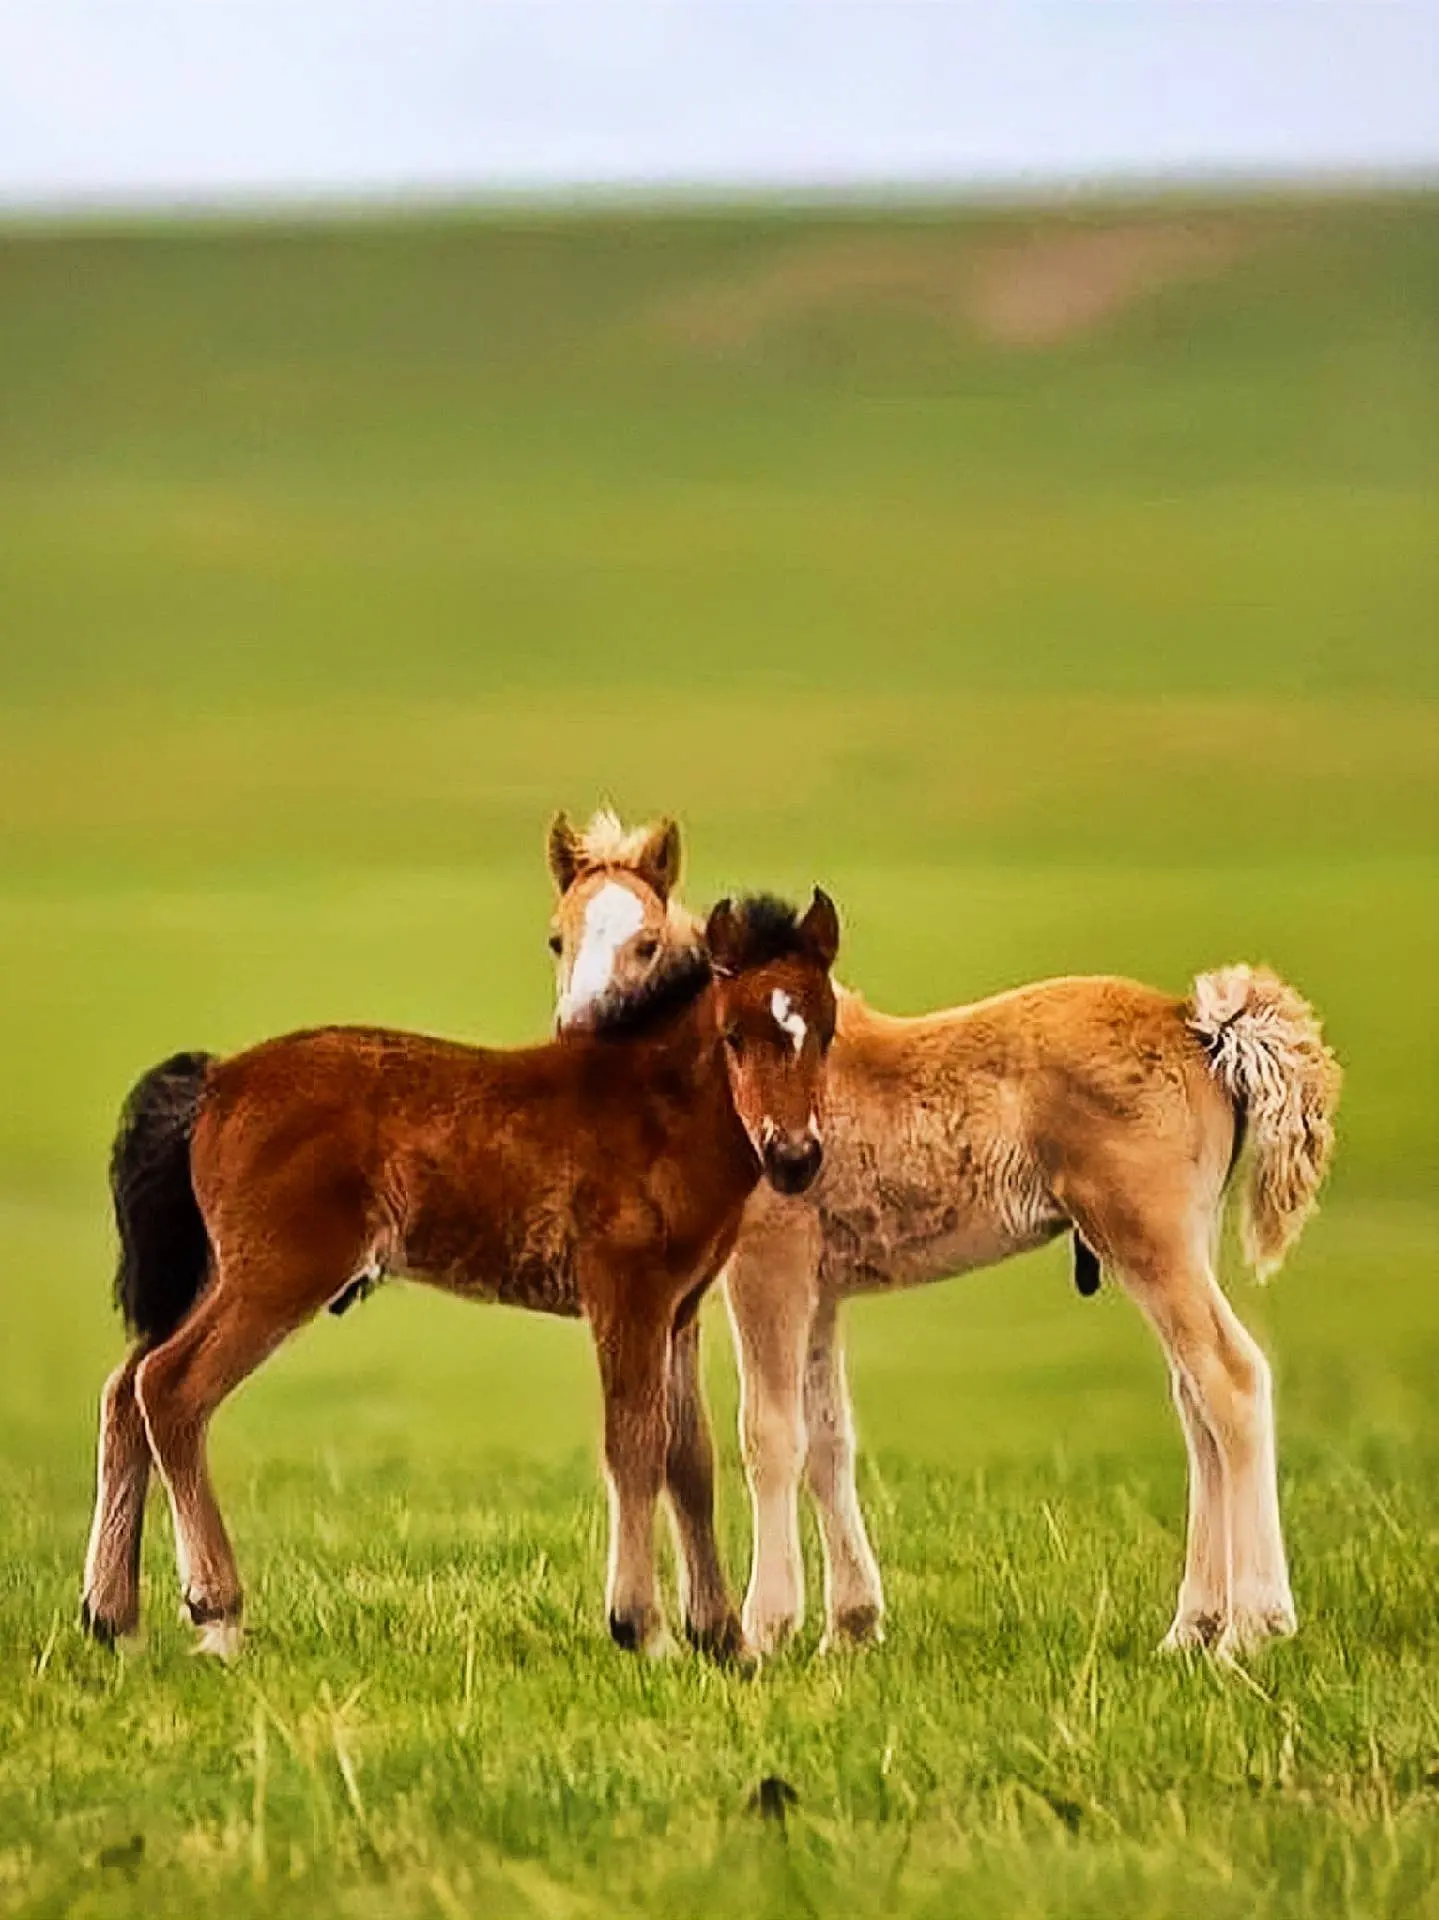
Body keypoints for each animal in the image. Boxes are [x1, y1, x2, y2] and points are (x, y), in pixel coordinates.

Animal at [81, 883, 841, 1651]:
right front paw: (642, 1629)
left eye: (826, 1033)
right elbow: (634, 1443)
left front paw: (722, 1640)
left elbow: (690, 1454)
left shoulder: (679, 1306)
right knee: (170, 1385)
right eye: (733, 1036)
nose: (794, 1156)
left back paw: (111, 1616)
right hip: (276, 1275)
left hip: (218, 1272)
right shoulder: (624, 1292)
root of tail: (215, 1082)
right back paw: (217, 1611)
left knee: (124, 1388)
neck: (654, 1113)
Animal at [541, 802, 1337, 1658]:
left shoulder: (768, 1270)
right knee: (1193, 1401)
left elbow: (770, 1433)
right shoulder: (822, 1290)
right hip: (1185, 1240)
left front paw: (766, 1628)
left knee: (1230, 1379)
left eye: (646, 944)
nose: (578, 1037)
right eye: (557, 938)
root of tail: (1195, 1024)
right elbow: (829, 1439)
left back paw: (1252, 1627)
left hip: (1146, 1240)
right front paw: (850, 1628)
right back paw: (1189, 1629)